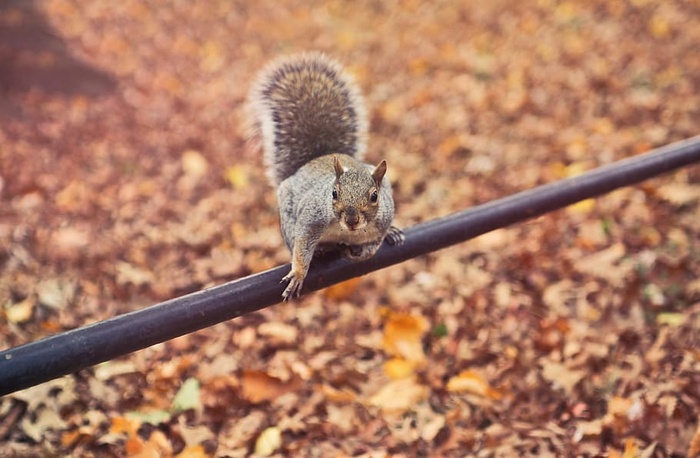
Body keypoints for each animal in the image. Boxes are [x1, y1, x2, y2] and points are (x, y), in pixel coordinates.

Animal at [247, 52, 404, 300]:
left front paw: (363, 252)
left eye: (374, 196)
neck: (347, 232)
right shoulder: (311, 218)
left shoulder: (382, 220)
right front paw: (298, 273)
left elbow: (373, 246)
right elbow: (302, 245)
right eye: (334, 193)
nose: (351, 220)